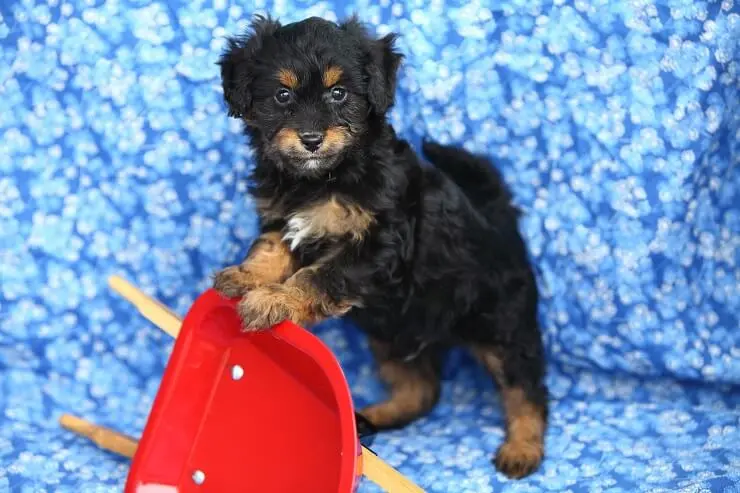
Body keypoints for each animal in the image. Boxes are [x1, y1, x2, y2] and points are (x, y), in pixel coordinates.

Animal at [211, 15, 548, 476]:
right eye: (282, 95)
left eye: (339, 93)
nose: (311, 139)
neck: (323, 179)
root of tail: (502, 224)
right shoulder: (283, 218)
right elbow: (270, 247)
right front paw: (247, 276)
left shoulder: (380, 244)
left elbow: (320, 275)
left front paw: (275, 300)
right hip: (395, 334)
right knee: (420, 389)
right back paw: (374, 419)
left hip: (501, 323)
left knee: (525, 385)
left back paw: (523, 447)